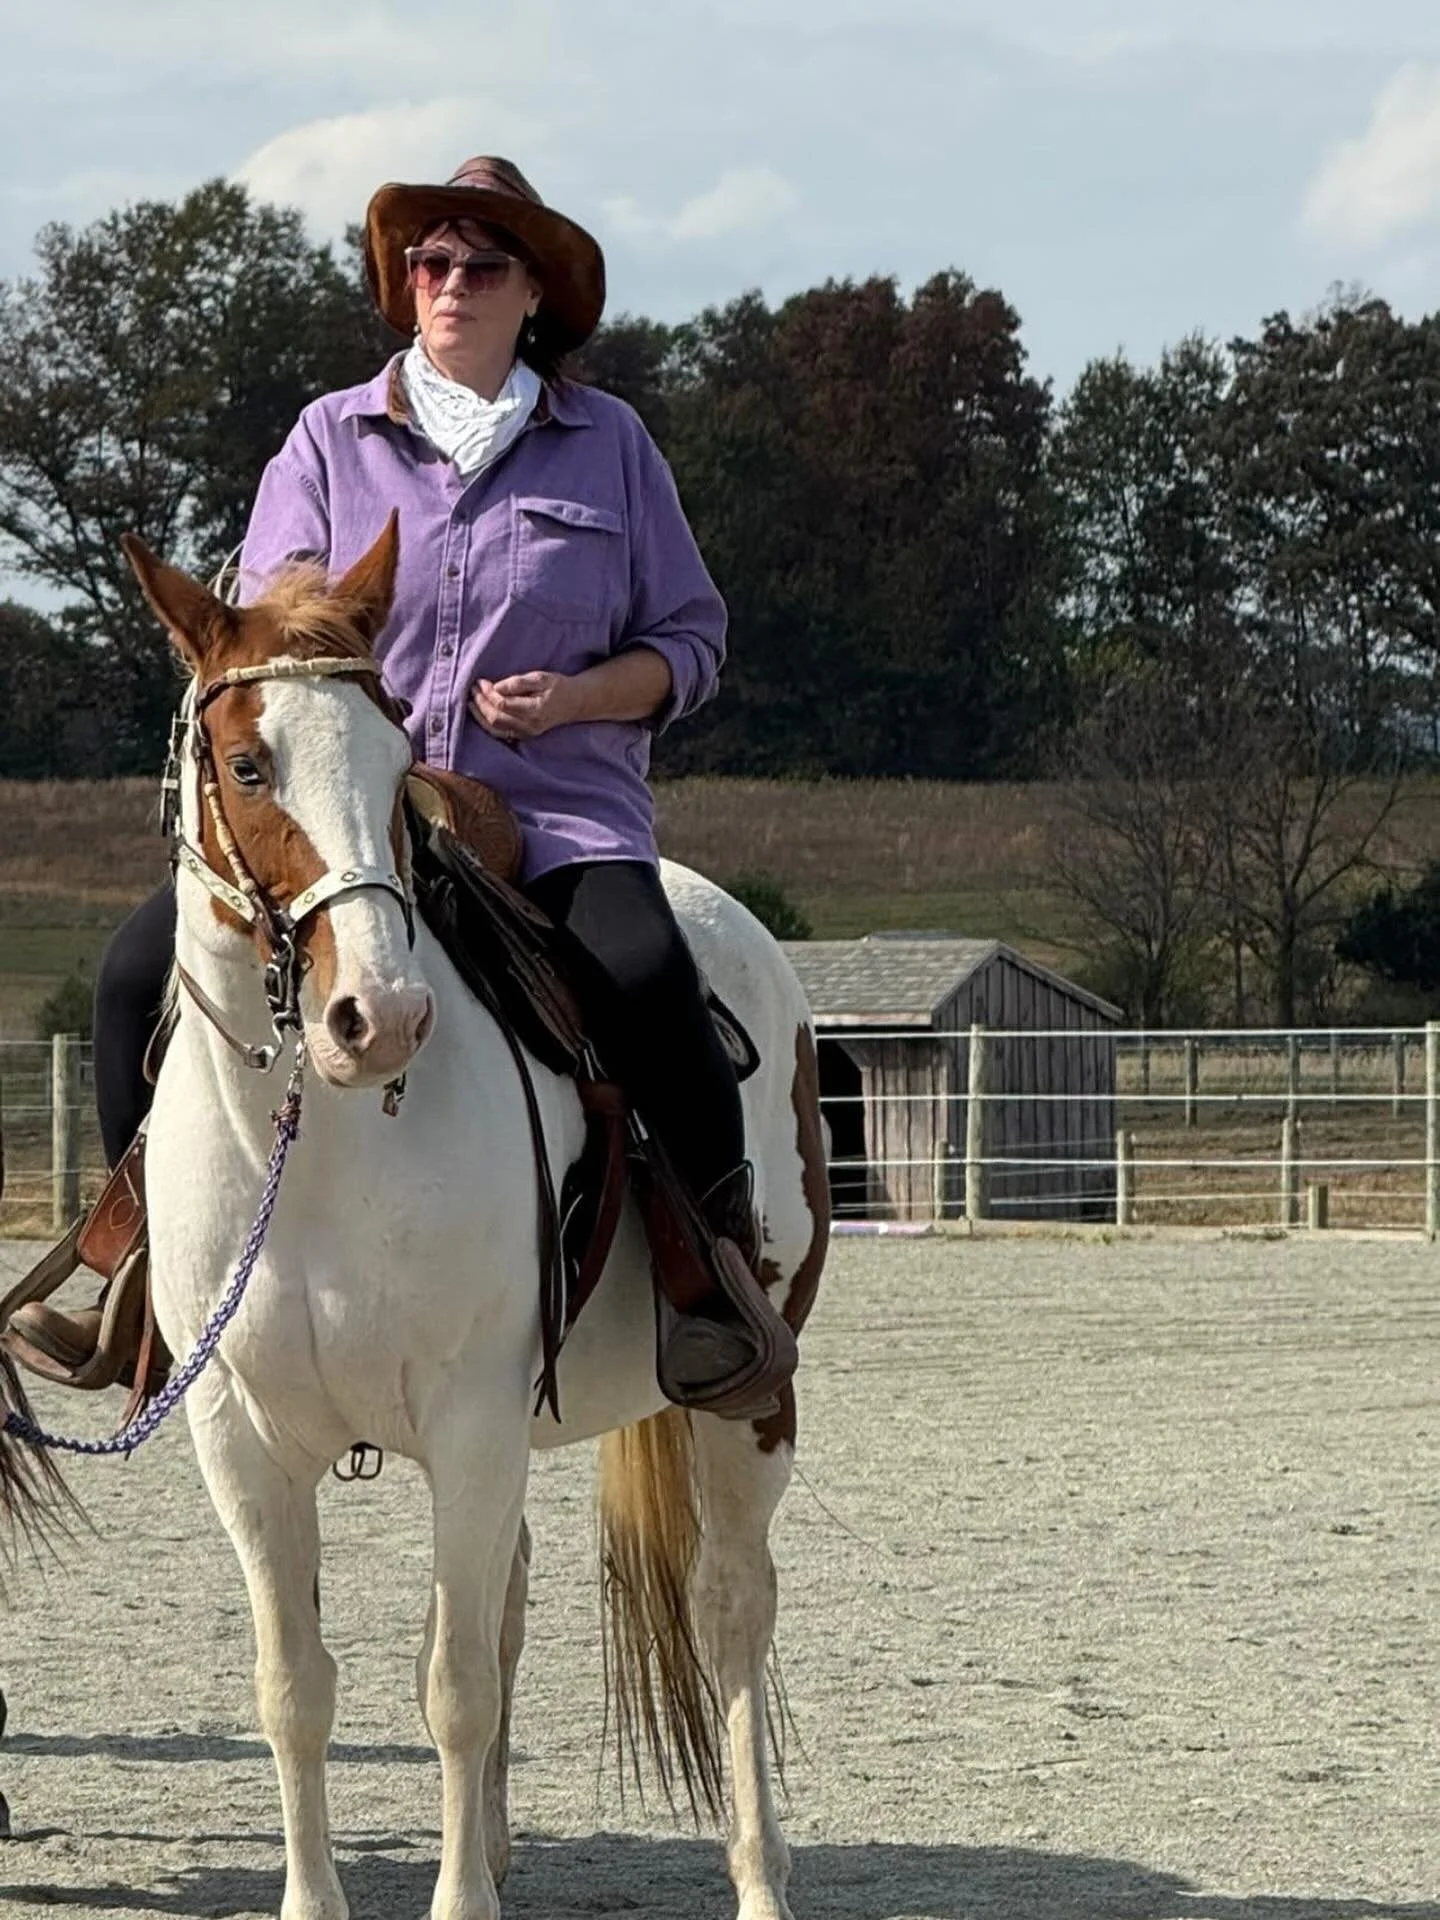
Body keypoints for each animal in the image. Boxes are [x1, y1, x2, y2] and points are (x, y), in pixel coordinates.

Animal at [0, 517, 828, 1920]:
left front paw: (456, 1899)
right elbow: (299, 1688)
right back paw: (494, 1845)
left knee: (729, 1612)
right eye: (246, 762)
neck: (317, 1152)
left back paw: (757, 1878)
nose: (375, 1017)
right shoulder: (244, 1441)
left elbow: (454, 1688)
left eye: (395, 770)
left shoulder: (469, 1422)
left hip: (744, 1404)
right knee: (514, 1601)